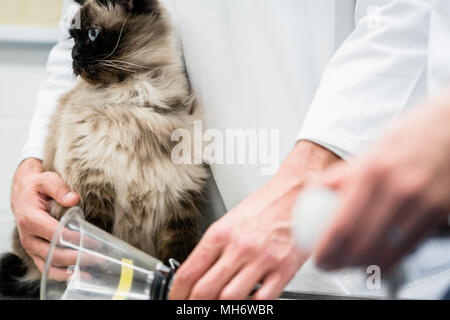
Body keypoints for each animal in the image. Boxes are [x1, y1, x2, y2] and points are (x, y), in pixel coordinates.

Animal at [0, 0, 207, 298]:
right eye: (72, 39)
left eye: (92, 35)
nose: (73, 56)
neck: (129, 102)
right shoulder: (94, 191)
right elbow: (94, 253)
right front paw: (92, 281)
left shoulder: (178, 205)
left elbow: (180, 259)